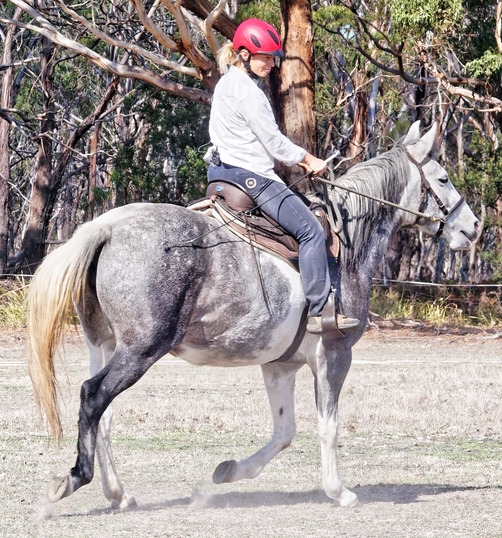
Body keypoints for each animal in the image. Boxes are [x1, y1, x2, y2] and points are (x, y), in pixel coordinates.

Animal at [27, 121, 478, 506]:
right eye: (442, 179)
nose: (473, 226)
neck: (345, 241)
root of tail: (107, 227)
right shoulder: (334, 354)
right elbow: (327, 425)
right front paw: (339, 491)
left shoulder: (279, 365)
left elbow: (285, 431)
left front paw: (228, 471)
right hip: (141, 350)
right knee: (93, 396)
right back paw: (74, 479)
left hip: (103, 345)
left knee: (102, 415)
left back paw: (118, 494)